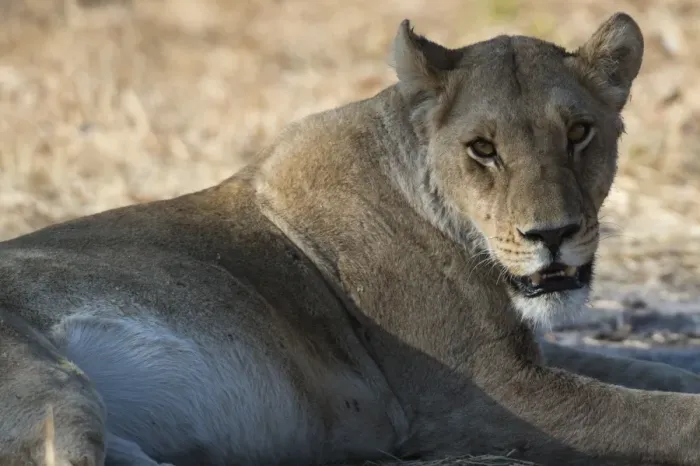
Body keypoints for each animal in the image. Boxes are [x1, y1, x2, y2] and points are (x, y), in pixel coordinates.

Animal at [1, 11, 700, 466]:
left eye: (579, 132)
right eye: (483, 149)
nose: (552, 234)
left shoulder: (523, 354)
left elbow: (652, 368)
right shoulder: (483, 395)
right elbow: (669, 418)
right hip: (54, 392)